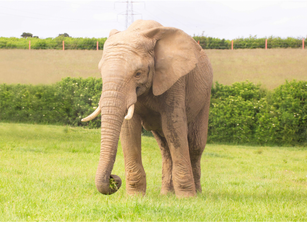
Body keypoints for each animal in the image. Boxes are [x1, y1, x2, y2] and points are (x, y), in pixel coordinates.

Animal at [82, 19, 214, 199]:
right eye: (101, 72)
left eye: (138, 73)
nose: (113, 179)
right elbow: (129, 129)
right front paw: (135, 197)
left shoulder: (175, 81)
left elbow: (174, 126)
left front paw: (187, 198)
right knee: (165, 148)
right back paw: (166, 194)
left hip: (205, 95)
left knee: (194, 145)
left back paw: (197, 194)